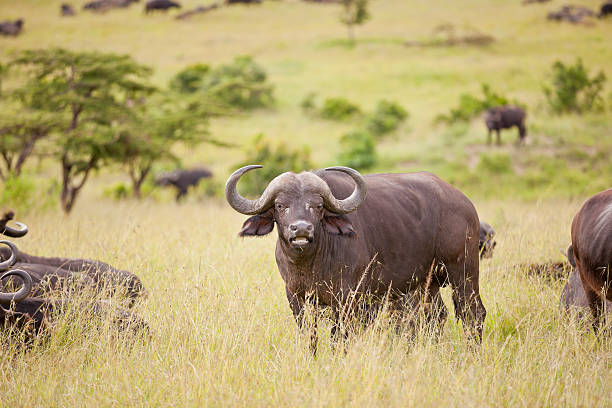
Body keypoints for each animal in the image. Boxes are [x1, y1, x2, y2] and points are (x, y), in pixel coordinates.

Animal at [226, 164, 488, 350]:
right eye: (280, 205)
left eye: (318, 206)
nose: (301, 229)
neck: (311, 264)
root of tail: (464, 203)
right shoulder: (295, 297)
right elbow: (309, 334)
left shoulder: (347, 298)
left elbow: (338, 336)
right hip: (427, 282)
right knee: (436, 316)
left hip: (463, 271)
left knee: (473, 313)